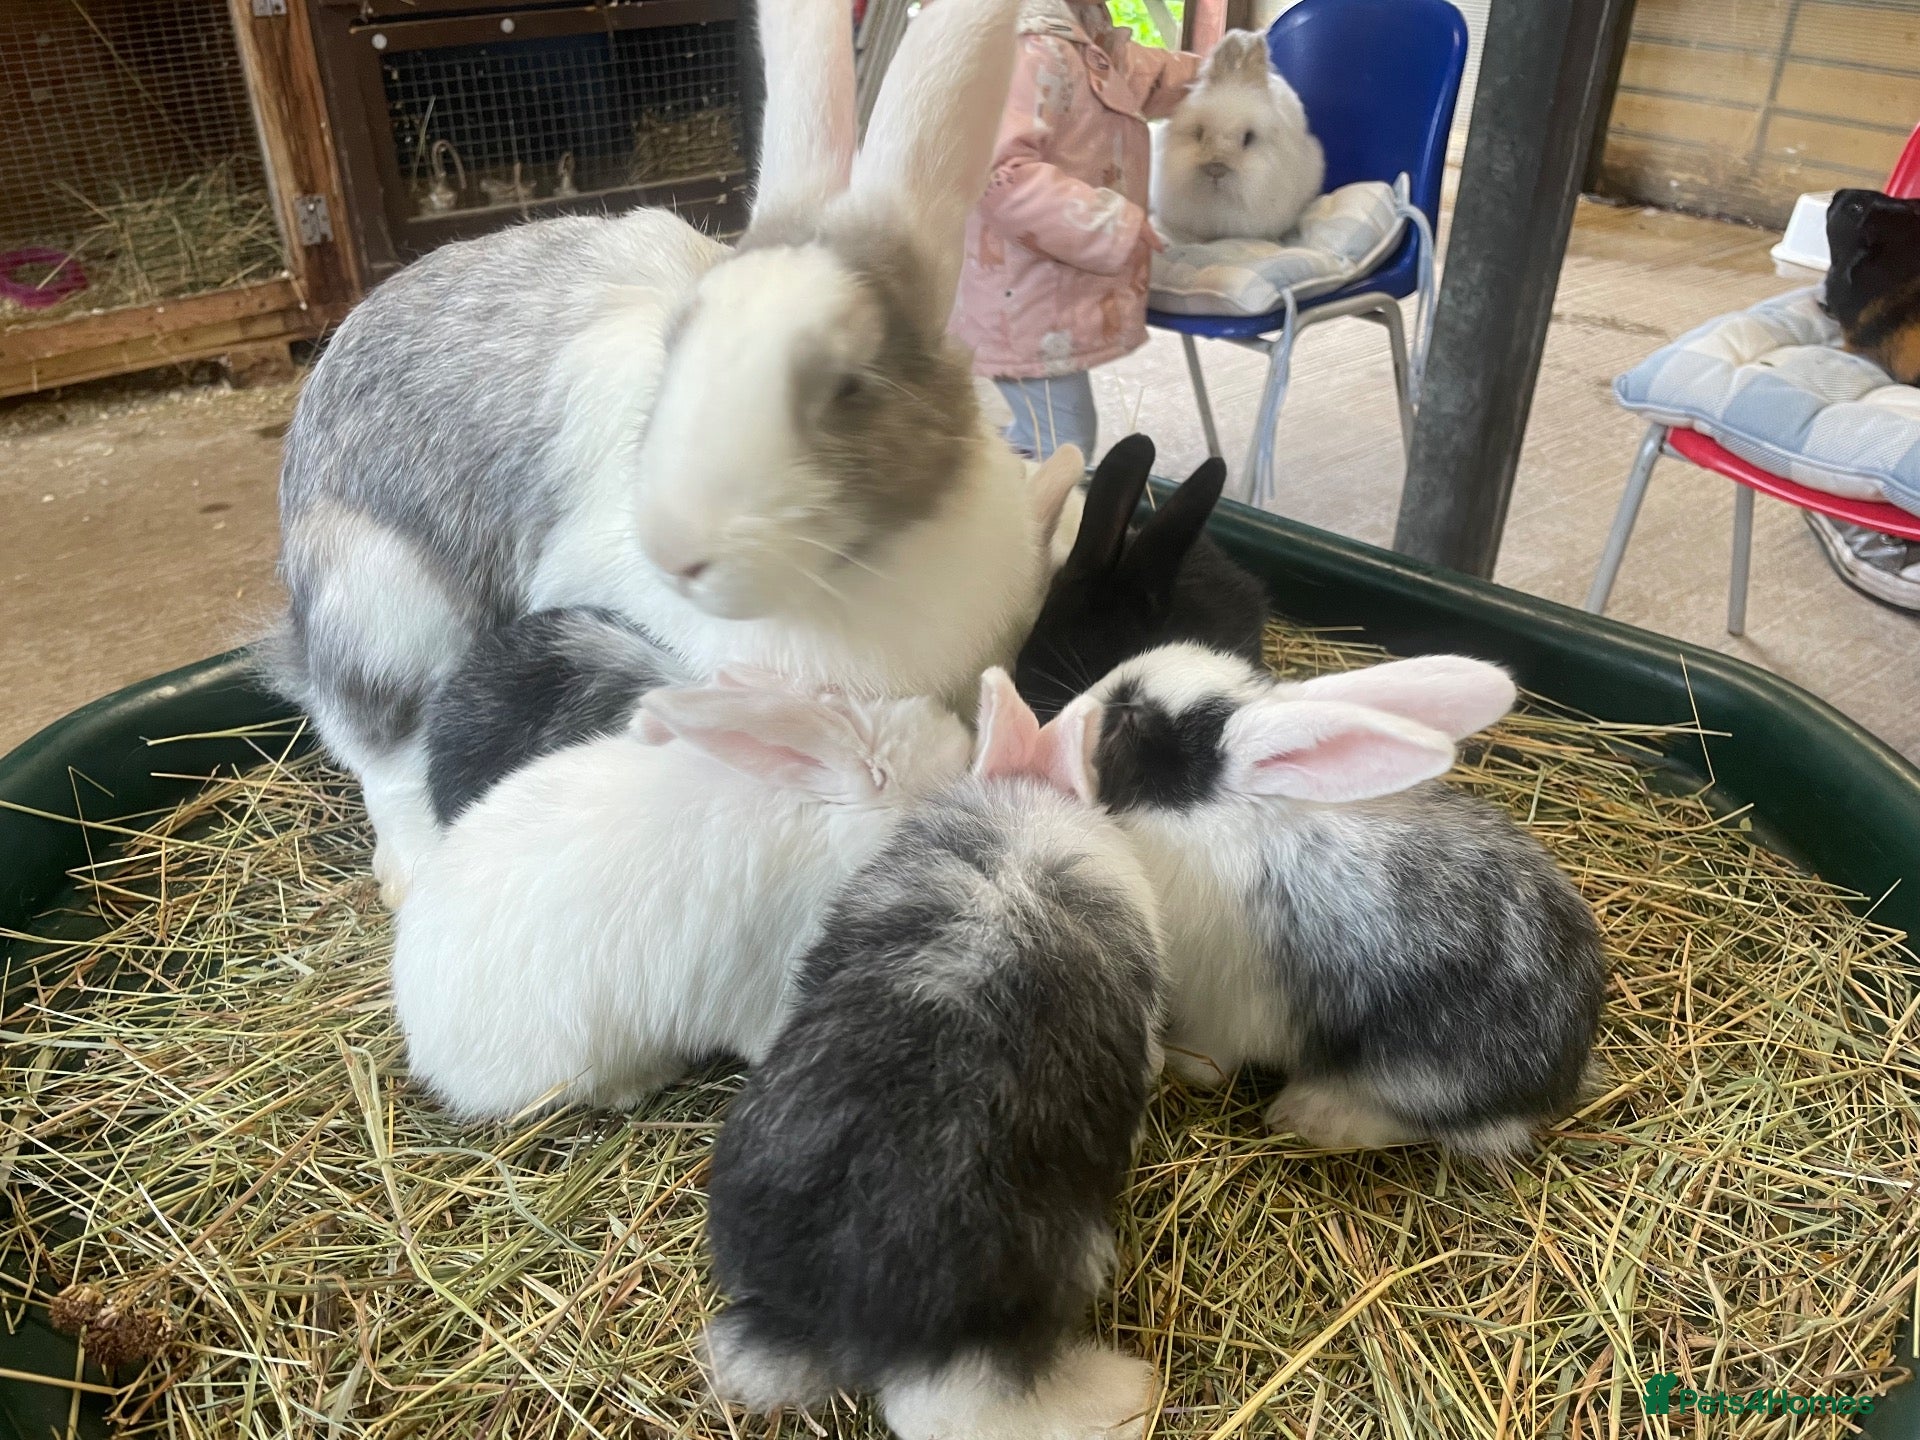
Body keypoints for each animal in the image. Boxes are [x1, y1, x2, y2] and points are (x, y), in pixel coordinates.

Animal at [1078, 643, 1604, 1159]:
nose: (1089, 700)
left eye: (1132, 720)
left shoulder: (1226, 1005)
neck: (1215, 810)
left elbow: (1212, 1058)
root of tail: (1556, 1084)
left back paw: (1303, 1115)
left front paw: (1178, 1062)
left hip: (1415, 1075)